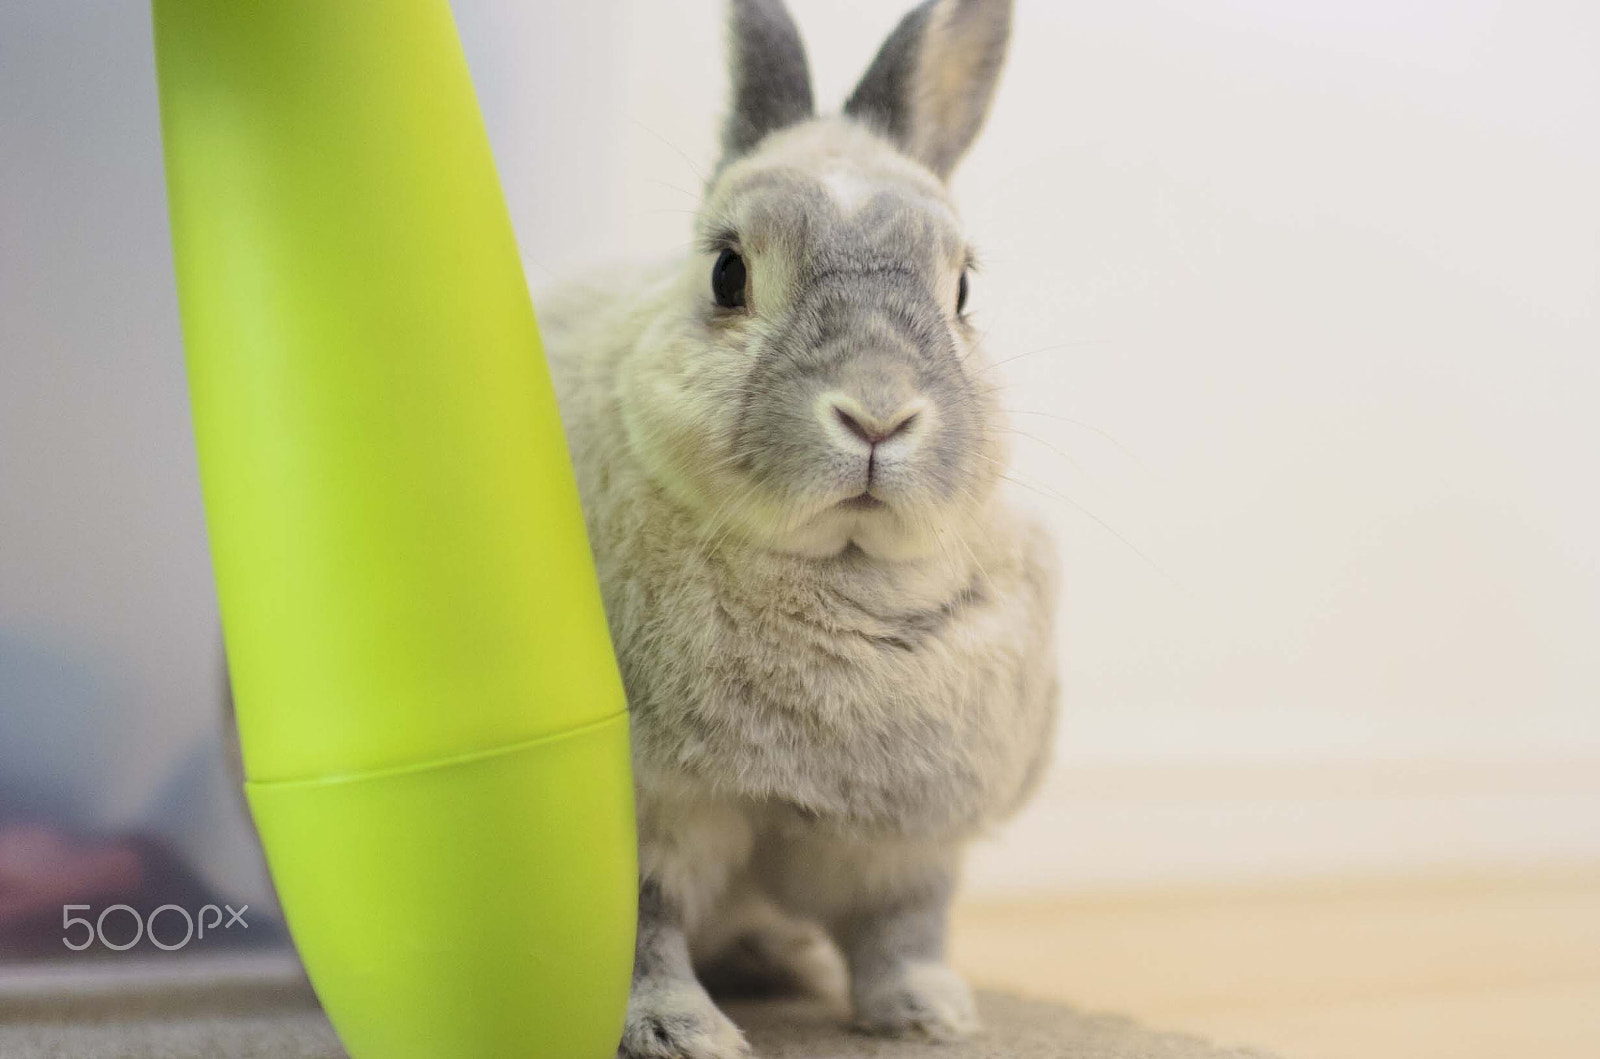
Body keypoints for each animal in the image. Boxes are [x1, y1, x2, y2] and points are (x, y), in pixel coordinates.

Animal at [540, 2, 1062, 1059]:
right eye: (726, 272)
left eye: (962, 292)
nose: (876, 414)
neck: (838, 578)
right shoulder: (652, 818)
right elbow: (646, 931)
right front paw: (680, 1033)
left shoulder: (906, 842)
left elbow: (903, 927)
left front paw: (930, 1013)